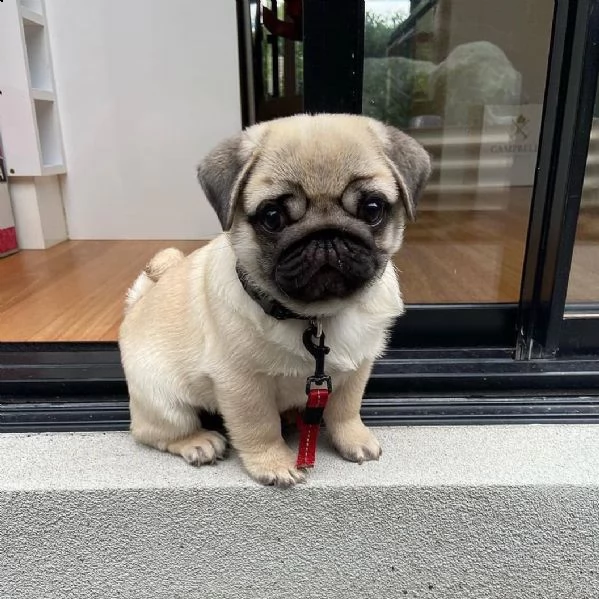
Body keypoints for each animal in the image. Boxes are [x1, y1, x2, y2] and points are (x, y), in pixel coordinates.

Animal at [118, 112, 432, 488]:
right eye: (272, 217)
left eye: (372, 209)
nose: (325, 235)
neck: (315, 318)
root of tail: (136, 307)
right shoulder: (241, 383)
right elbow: (259, 425)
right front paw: (274, 462)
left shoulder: (358, 369)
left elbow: (346, 408)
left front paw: (353, 438)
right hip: (165, 402)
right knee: (154, 431)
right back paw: (198, 442)